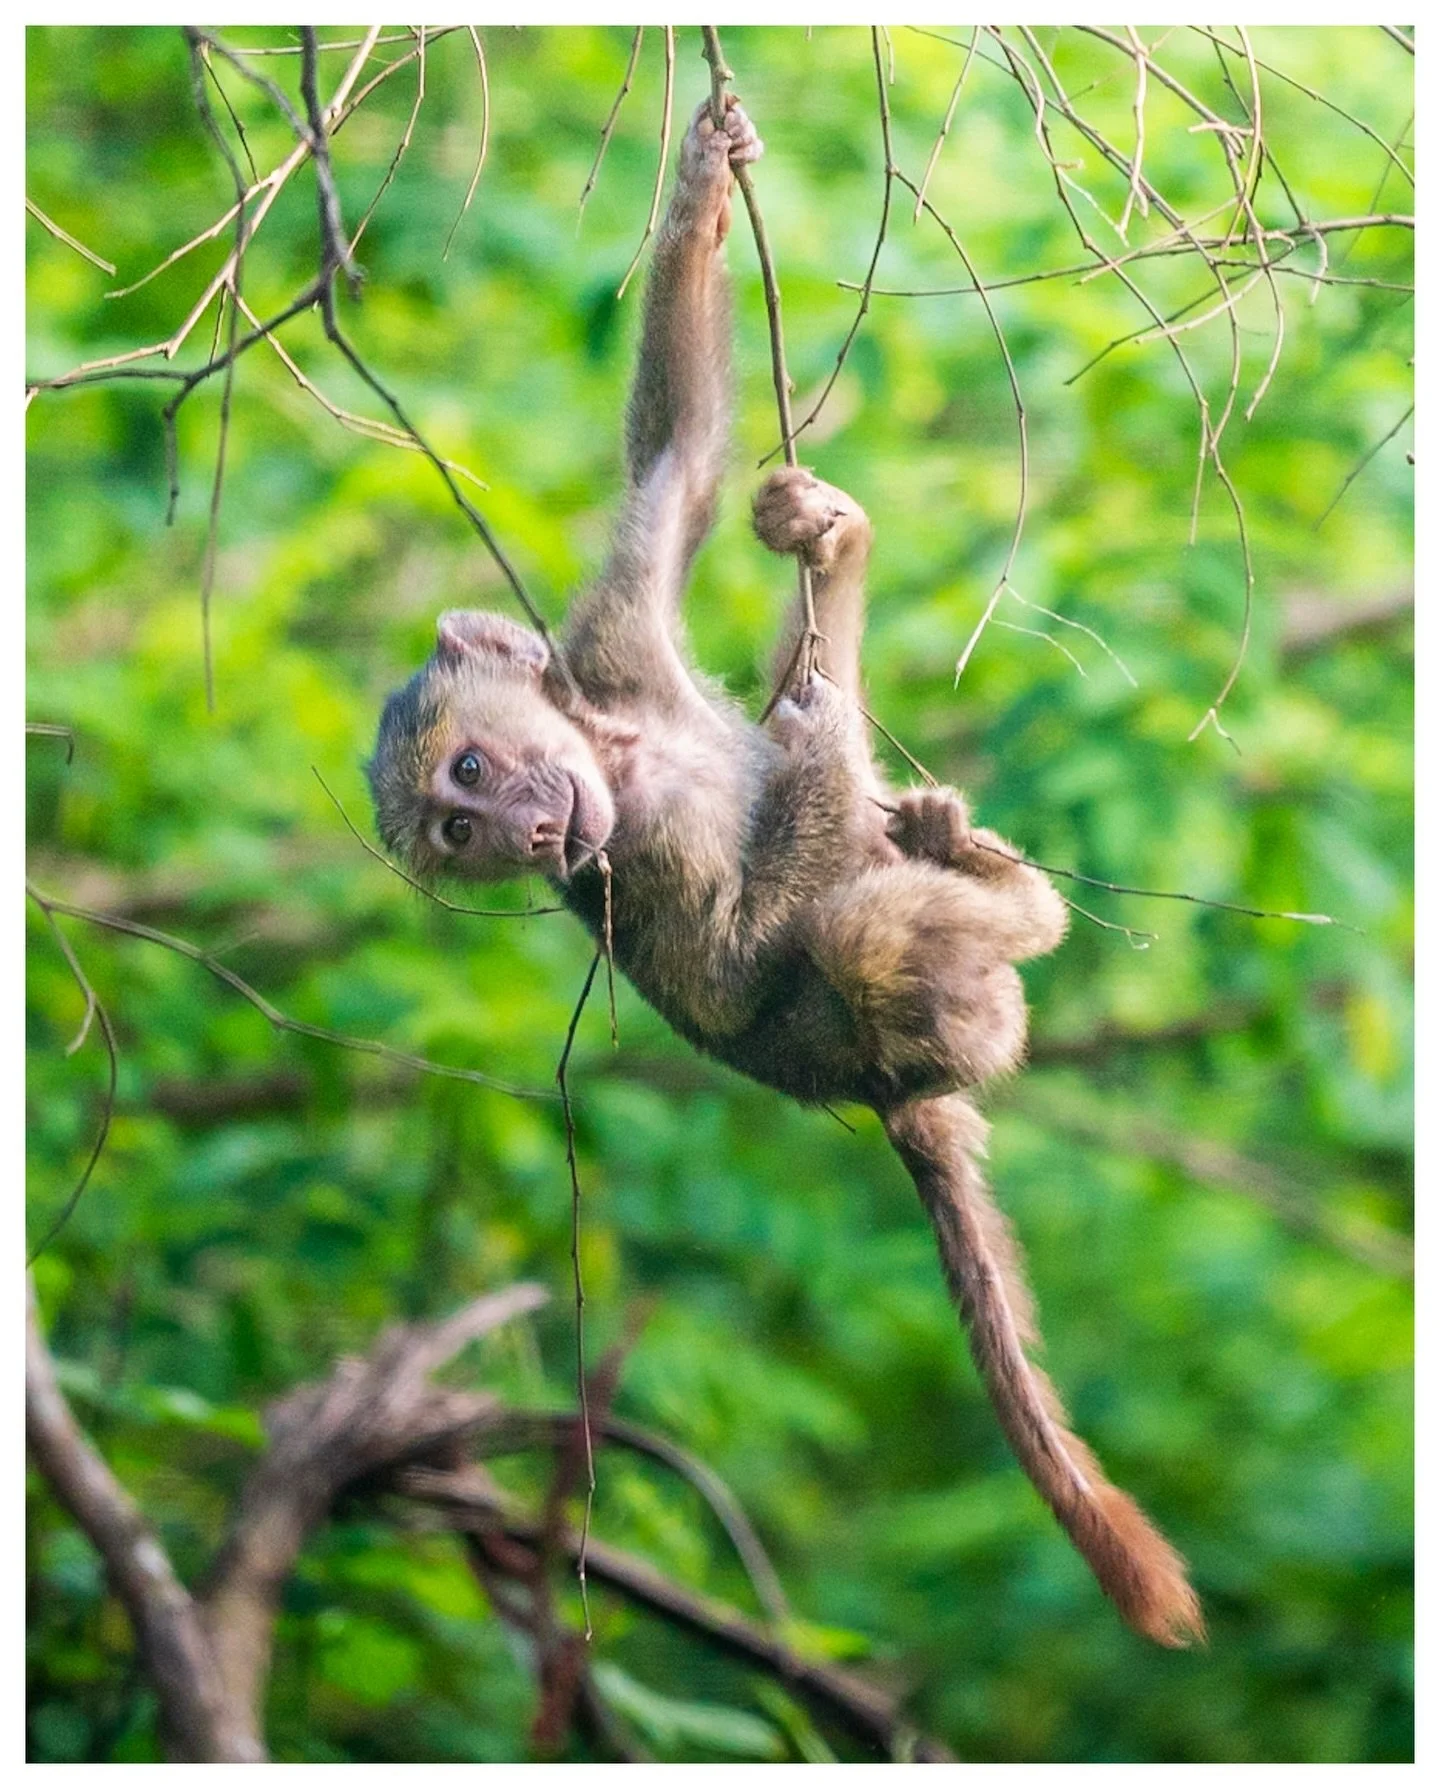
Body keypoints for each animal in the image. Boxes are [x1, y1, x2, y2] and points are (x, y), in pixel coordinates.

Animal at [369, 95, 1203, 1648]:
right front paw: (817, 731)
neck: (621, 752)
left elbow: (676, 463)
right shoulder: (631, 863)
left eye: (469, 779)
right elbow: (744, 956)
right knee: (872, 937)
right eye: (455, 831)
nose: (523, 836)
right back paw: (1004, 900)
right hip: (941, 1028)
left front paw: (708, 174)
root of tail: (897, 1097)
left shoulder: (612, 641)